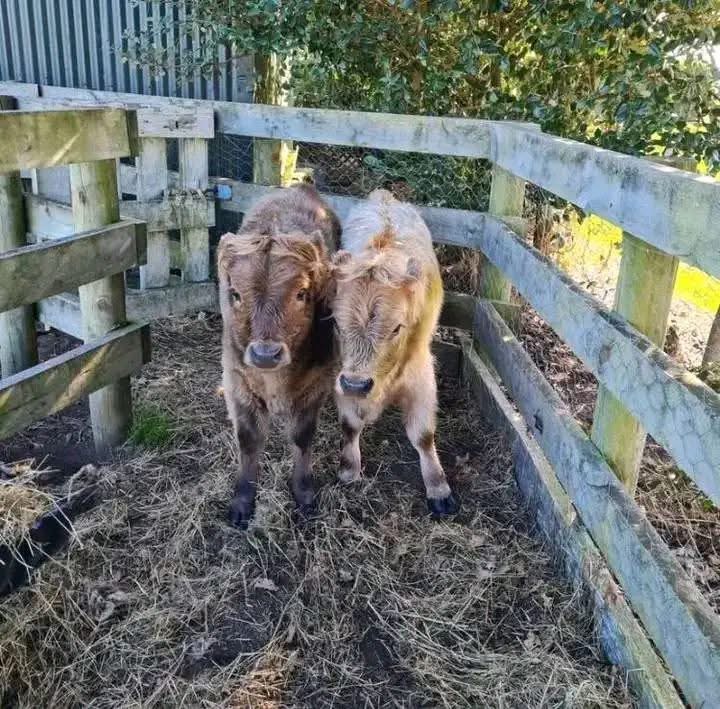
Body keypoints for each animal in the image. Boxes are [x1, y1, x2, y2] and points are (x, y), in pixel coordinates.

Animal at [217, 184, 341, 528]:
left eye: (301, 293)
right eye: (235, 294)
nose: (265, 354)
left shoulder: (316, 385)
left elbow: (301, 437)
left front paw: (303, 492)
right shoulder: (237, 381)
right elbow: (248, 439)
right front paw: (243, 500)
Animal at [330, 189, 459, 516]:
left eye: (397, 328)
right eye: (336, 322)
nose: (356, 384)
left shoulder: (422, 372)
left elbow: (423, 435)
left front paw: (438, 487)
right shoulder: (340, 373)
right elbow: (350, 425)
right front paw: (349, 469)